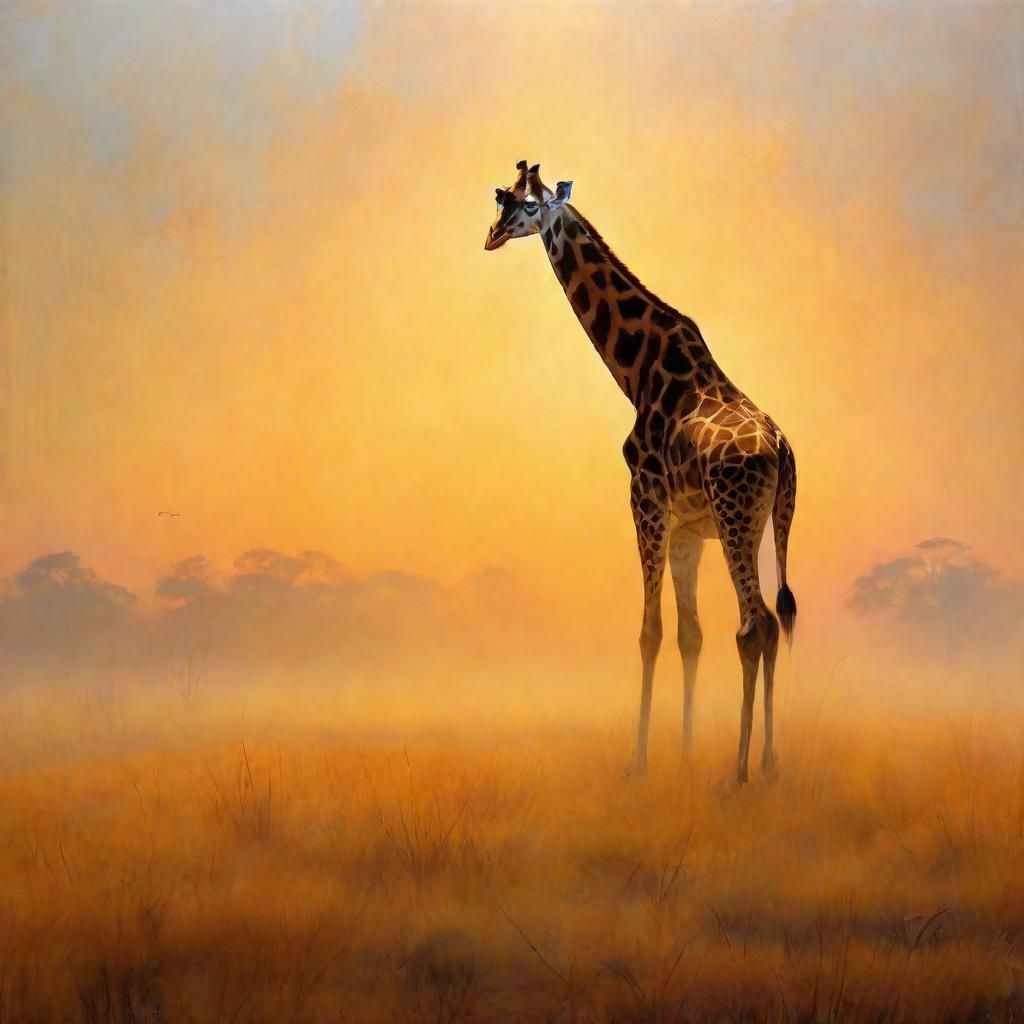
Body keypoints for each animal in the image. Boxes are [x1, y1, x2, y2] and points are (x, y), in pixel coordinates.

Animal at [484, 161, 797, 784]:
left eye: (530, 207)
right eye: (502, 198)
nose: (493, 235)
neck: (638, 370)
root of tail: (780, 447)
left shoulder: (645, 501)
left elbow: (650, 633)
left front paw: (637, 762)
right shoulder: (686, 530)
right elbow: (689, 636)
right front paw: (683, 755)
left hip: (736, 519)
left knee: (754, 625)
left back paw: (739, 773)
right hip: (772, 520)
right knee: (772, 622)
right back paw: (769, 764)